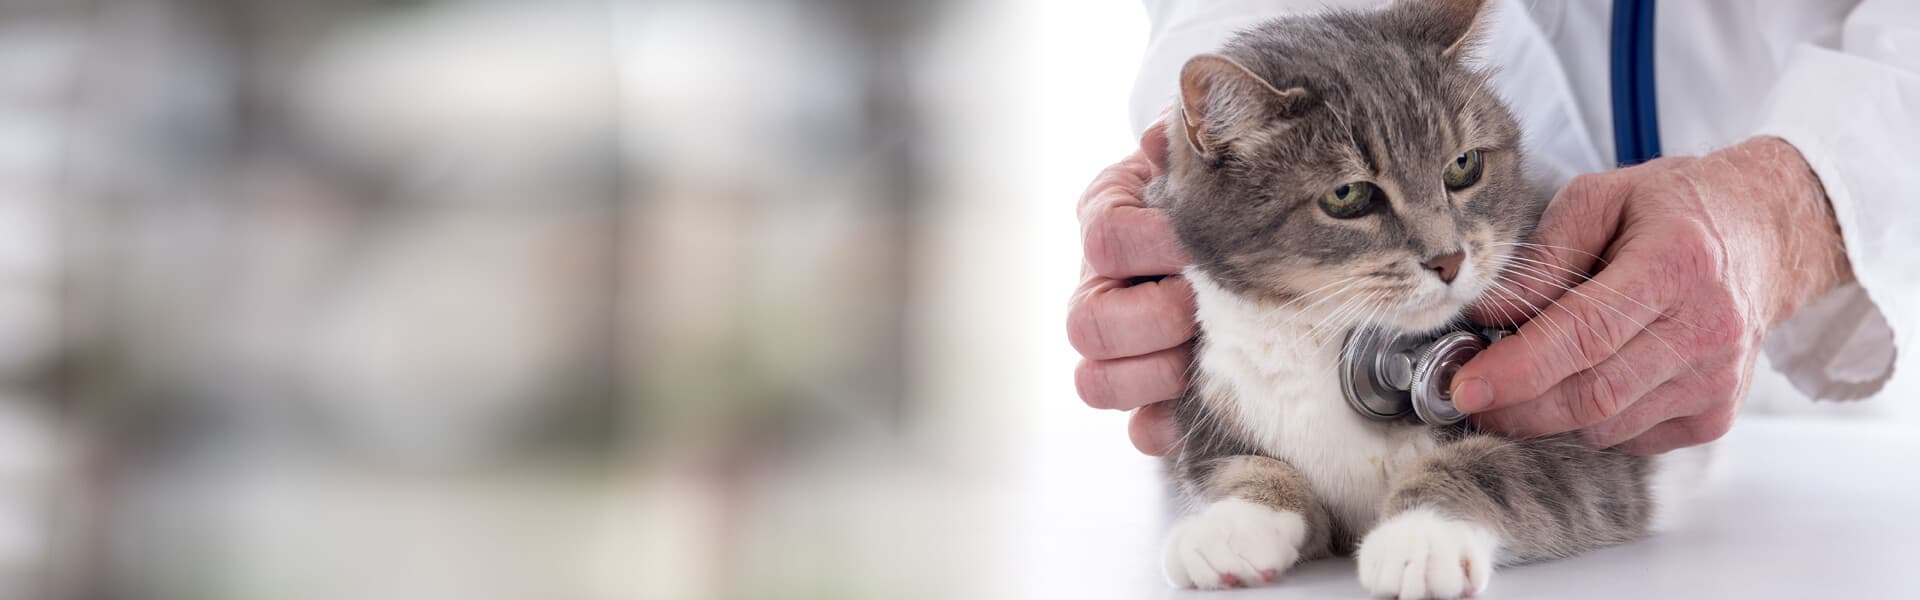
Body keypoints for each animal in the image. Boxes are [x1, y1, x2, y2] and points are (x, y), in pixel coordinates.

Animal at [1144, 2, 1704, 596]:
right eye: (1347, 195)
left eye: (1463, 166)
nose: (1448, 259)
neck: (1327, 338)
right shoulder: (1215, 392)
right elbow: (1234, 465)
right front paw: (1233, 522)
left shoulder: (1590, 438)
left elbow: (1494, 468)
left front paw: (1419, 537)